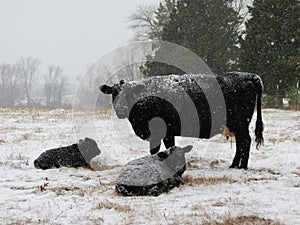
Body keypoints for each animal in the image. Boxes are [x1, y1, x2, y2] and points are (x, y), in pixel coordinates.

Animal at [100, 72, 262, 169]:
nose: (121, 109)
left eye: (129, 93)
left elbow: (159, 149)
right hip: (237, 125)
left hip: (240, 123)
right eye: (114, 93)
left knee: (245, 142)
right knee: (241, 143)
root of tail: (246, 75)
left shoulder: (161, 131)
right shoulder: (166, 132)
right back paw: (234, 165)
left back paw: (242, 166)